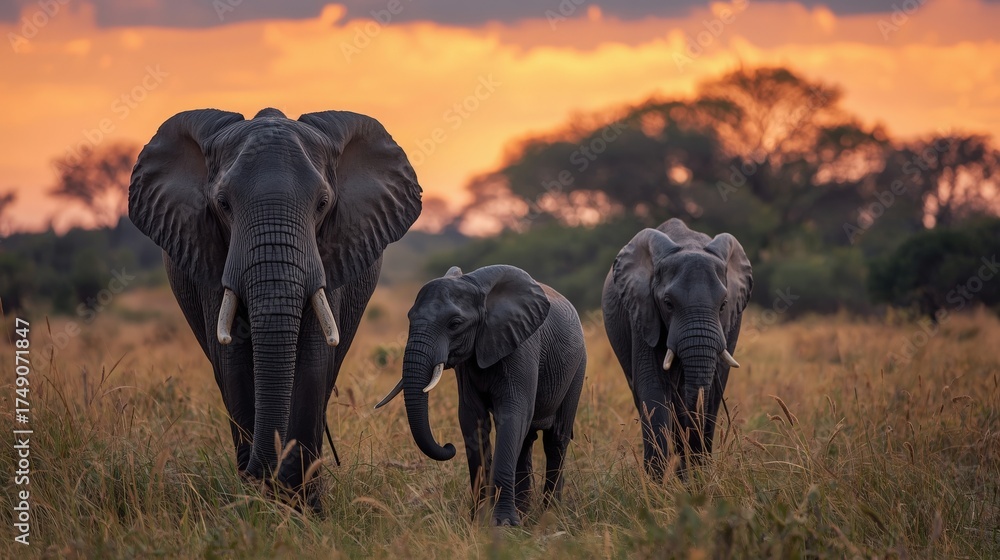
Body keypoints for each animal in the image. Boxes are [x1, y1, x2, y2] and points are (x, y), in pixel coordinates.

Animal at [128, 107, 421, 509]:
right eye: (223, 204)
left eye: (323, 204)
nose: (257, 472)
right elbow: (233, 360)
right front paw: (258, 503)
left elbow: (313, 360)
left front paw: (299, 506)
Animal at [375, 265, 587, 526]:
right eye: (410, 318)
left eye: (455, 324)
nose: (448, 446)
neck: (476, 286)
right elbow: (472, 418)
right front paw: (478, 521)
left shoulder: (522, 346)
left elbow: (512, 414)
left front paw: (503, 524)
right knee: (526, 440)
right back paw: (524, 514)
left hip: (578, 367)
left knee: (556, 439)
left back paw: (550, 516)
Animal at [601, 218, 752, 479]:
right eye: (668, 304)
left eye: (723, 305)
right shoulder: (642, 313)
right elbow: (652, 389)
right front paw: (655, 484)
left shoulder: (731, 325)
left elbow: (712, 392)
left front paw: (698, 477)